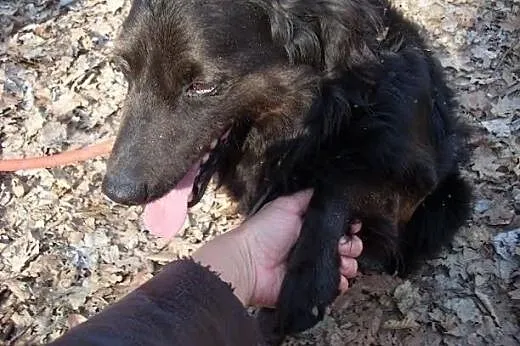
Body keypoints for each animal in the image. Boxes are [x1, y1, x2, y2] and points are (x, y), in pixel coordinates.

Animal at [101, 0, 472, 340]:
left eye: (203, 86)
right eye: (123, 71)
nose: (117, 192)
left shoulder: (411, 178)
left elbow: (341, 183)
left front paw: (310, 277)